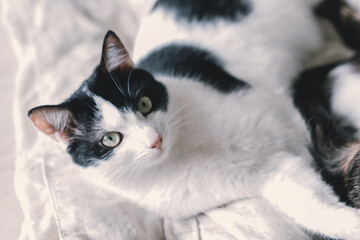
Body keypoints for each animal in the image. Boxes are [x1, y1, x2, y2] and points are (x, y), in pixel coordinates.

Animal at [28, 0, 360, 238]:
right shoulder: (275, 172)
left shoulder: (294, 114)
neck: (184, 152)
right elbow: (311, 206)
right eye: (110, 139)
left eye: (144, 103)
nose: (154, 140)